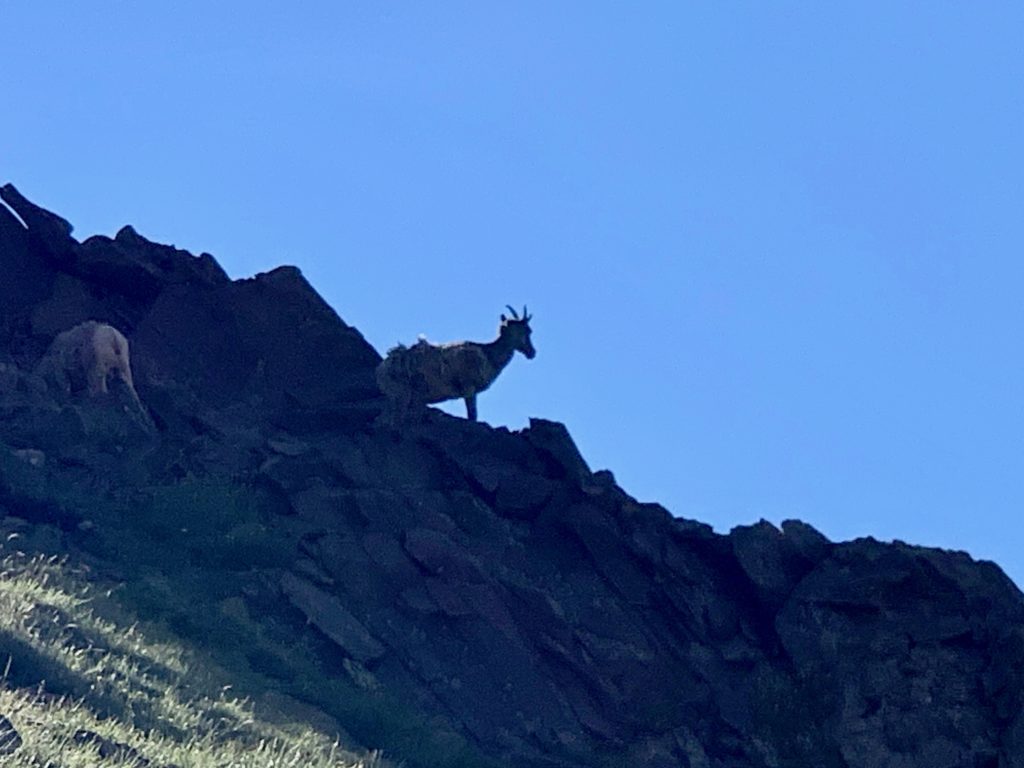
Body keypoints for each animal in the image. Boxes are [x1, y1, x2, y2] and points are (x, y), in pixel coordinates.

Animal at [376, 307, 536, 423]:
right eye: (528, 330)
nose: (532, 352)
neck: (488, 354)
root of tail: (381, 370)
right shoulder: (469, 388)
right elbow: (472, 416)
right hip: (401, 395)